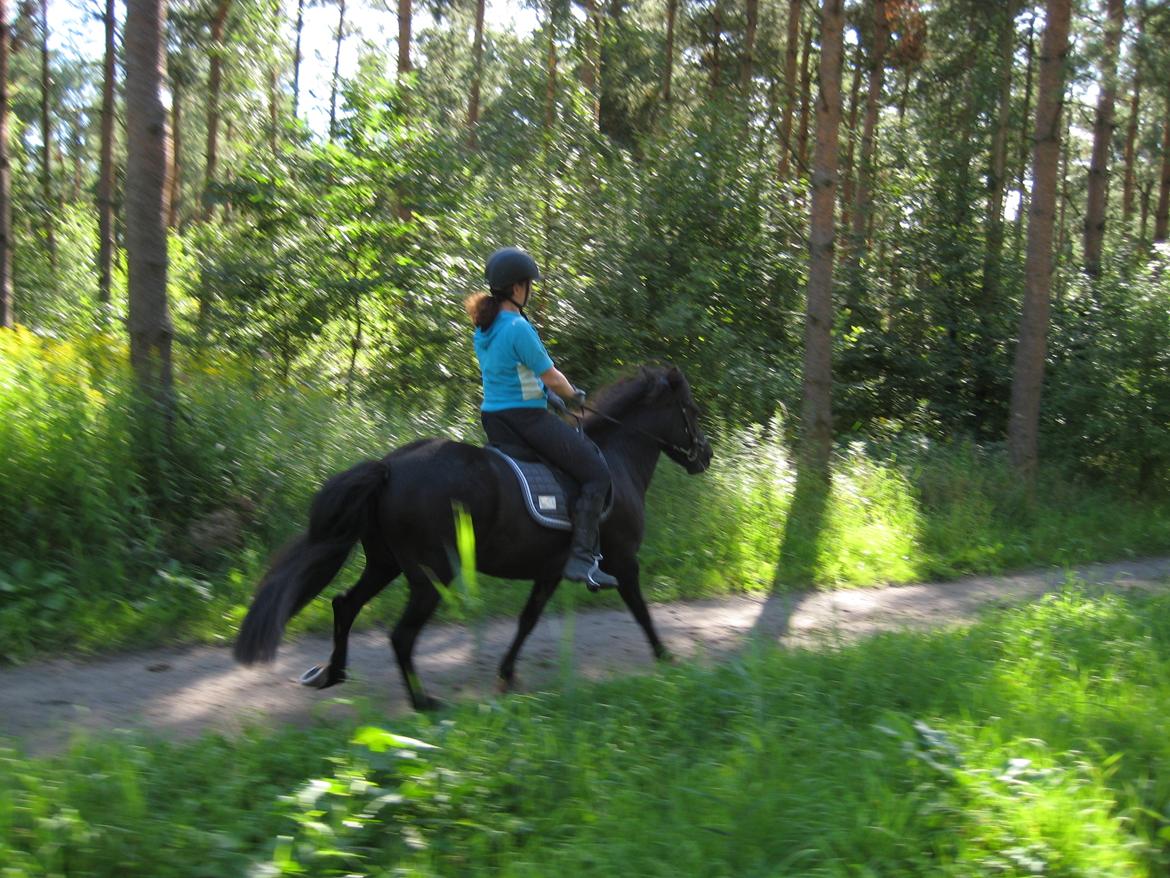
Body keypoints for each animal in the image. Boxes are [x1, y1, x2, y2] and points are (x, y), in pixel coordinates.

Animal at [231, 362, 706, 707]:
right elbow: (641, 610)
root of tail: (388, 467)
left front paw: (506, 675)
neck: (615, 458)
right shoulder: (623, 561)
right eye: (690, 409)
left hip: (385, 563)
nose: (705, 455)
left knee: (345, 605)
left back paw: (333, 673)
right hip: (431, 574)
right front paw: (667, 658)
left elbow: (528, 619)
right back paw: (423, 703)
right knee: (400, 635)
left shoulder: (550, 571)